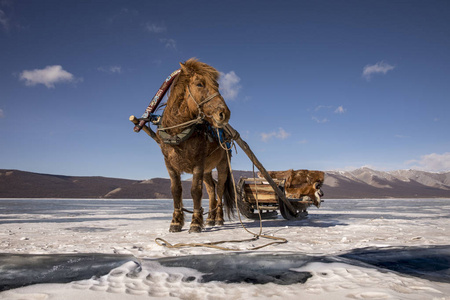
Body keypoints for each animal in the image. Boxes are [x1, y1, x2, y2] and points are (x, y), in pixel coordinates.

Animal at [157, 58, 236, 232]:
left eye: (217, 85)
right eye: (199, 84)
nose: (224, 113)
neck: (178, 133)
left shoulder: (198, 163)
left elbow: (195, 191)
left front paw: (195, 222)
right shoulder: (169, 164)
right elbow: (176, 191)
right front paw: (176, 222)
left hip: (222, 164)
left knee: (219, 190)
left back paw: (218, 218)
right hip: (207, 169)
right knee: (211, 189)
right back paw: (210, 219)